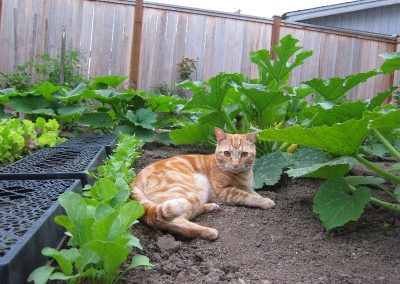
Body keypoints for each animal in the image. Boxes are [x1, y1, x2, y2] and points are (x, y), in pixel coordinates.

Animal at [131, 128, 276, 240]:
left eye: (244, 154)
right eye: (227, 153)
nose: (235, 164)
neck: (243, 176)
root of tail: (135, 180)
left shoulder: (248, 188)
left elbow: (254, 194)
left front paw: (263, 198)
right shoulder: (225, 192)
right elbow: (248, 197)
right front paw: (265, 201)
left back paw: (210, 206)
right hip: (191, 189)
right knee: (167, 221)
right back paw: (207, 231)